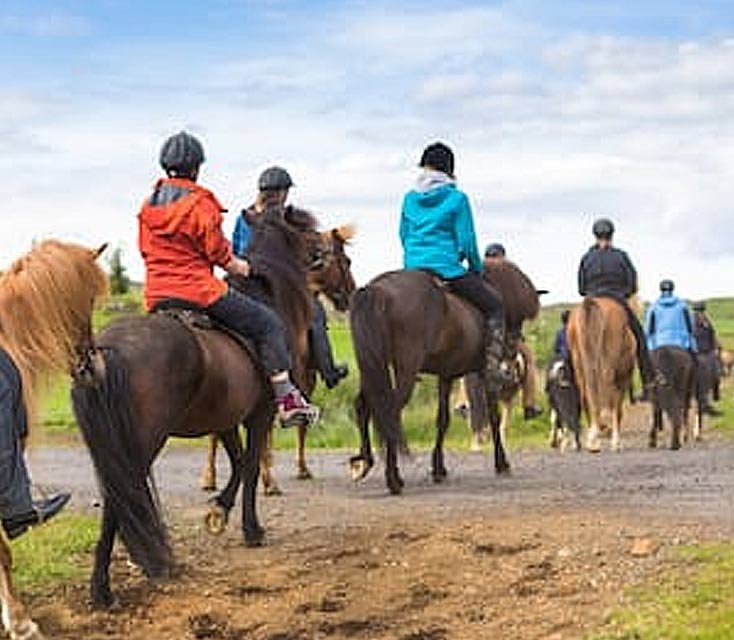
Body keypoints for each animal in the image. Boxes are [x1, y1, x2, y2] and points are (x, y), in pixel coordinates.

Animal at [196, 224, 356, 496]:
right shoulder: (302, 382)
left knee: (216, 430)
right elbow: (295, 426)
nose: (351, 294)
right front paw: (290, 472)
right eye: (346, 260)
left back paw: (209, 477)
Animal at [352, 270, 528, 496]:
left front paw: (438, 469)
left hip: (373, 367)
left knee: (364, 406)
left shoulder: (446, 375)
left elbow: (443, 420)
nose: (515, 353)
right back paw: (393, 479)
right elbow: (493, 417)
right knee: (389, 413)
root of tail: (376, 290)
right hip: (405, 369)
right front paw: (502, 463)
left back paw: (364, 462)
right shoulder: (483, 373)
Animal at [568, 298, 640, 452]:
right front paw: (616, 442)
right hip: (610, 366)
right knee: (608, 394)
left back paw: (593, 441)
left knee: (586, 396)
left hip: (580, 364)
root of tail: (590, 303)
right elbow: (617, 408)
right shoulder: (623, 379)